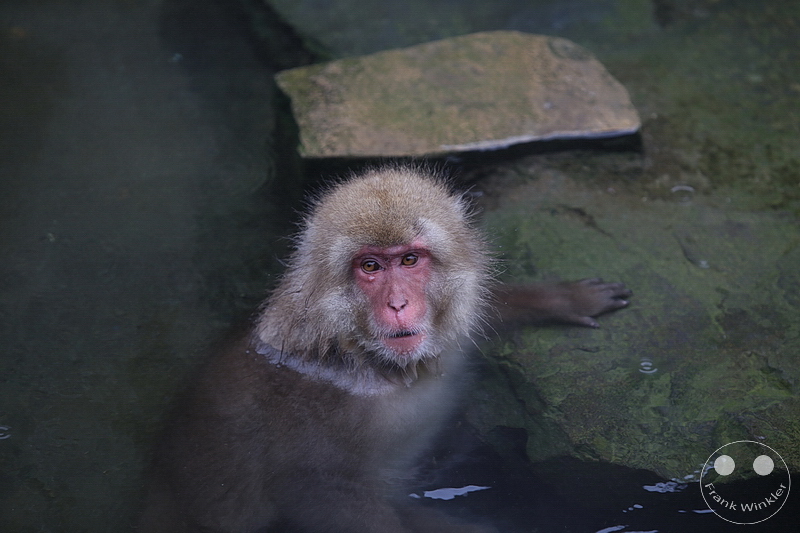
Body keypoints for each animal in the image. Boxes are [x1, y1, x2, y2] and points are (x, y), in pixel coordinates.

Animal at [139, 166, 631, 533]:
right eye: (371, 266)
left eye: (409, 259)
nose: (398, 305)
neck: (364, 358)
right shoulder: (309, 413)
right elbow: (319, 491)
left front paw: (561, 299)